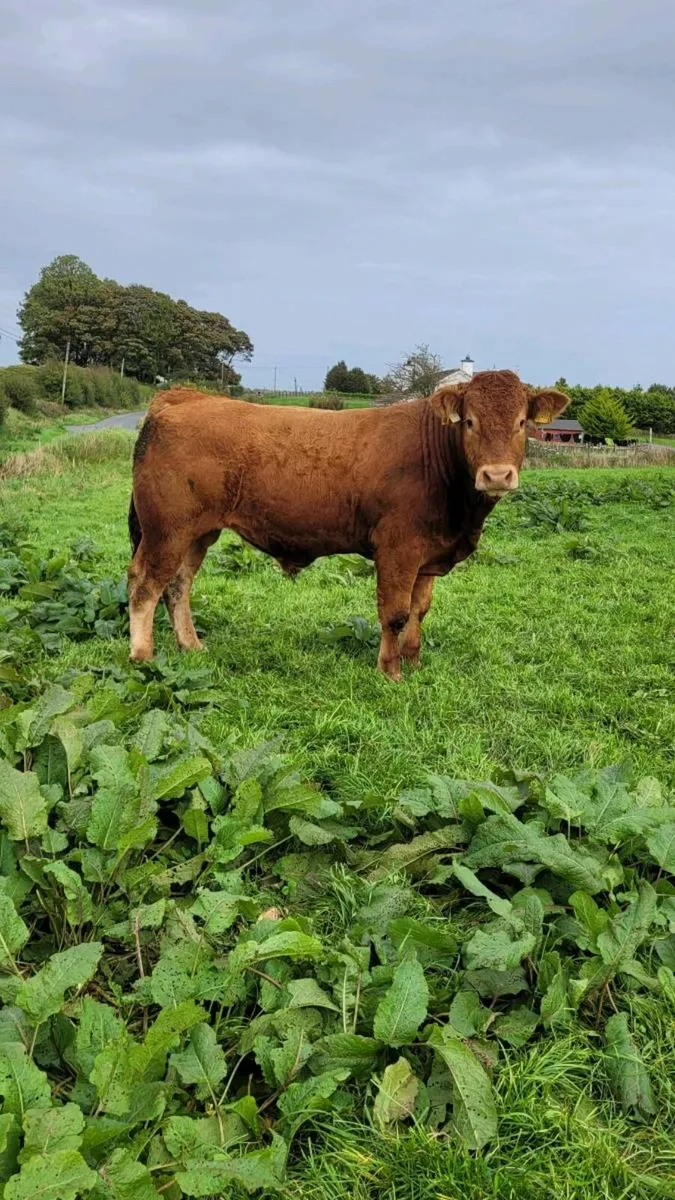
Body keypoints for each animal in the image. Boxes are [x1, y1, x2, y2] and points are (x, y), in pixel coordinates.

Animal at [127, 371, 568, 680]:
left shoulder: (429, 556)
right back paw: (143, 656)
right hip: (166, 530)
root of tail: (184, 396)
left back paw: (191, 646)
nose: (497, 475)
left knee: (177, 586)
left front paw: (414, 662)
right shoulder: (397, 549)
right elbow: (395, 613)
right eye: (470, 422)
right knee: (146, 587)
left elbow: (420, 610)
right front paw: (390, 671)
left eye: (522, 422)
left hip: (197, 533)